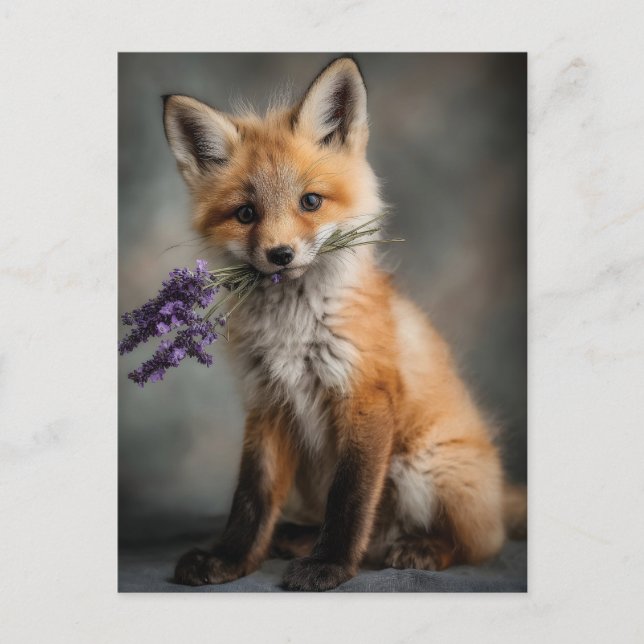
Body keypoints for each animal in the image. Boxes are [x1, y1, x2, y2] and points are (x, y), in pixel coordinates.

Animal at [162, 56, 526, 591]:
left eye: (310, 202)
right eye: (246, 213)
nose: (280, 255)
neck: (294, 332)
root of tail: (499, 499)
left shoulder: (364, 396)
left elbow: (351, 499)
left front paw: (330, 565)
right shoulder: (267, 403)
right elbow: (251, 498)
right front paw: (230, 558)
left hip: (420, 466)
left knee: (476, 545)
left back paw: (418, 548)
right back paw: (296, 539)